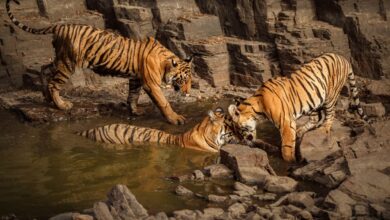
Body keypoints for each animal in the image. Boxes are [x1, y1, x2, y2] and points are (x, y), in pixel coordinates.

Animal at [6, 0, 193, 124]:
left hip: (60, 59)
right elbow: (163, 102)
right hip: (68, 63)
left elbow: (132, 95)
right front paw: (176, 118)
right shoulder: (151, 83)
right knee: (54, 83)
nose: (188, 92)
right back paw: (62, 105)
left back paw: (47, 98)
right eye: (183, 80)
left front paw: (135, 111)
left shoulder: (136, 79)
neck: (165, 62)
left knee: (44, 69)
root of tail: (59, 26)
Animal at [227, 52, 368, 162]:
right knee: (315, 119)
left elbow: (287, 147)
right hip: (314, 101)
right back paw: (301, 131)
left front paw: (290, 161)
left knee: (330, 115)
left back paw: (323, 129)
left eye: (239, 129)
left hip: (330, 96)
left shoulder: (286, 123)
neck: (258, 106)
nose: (244, 141)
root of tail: (344, 59)